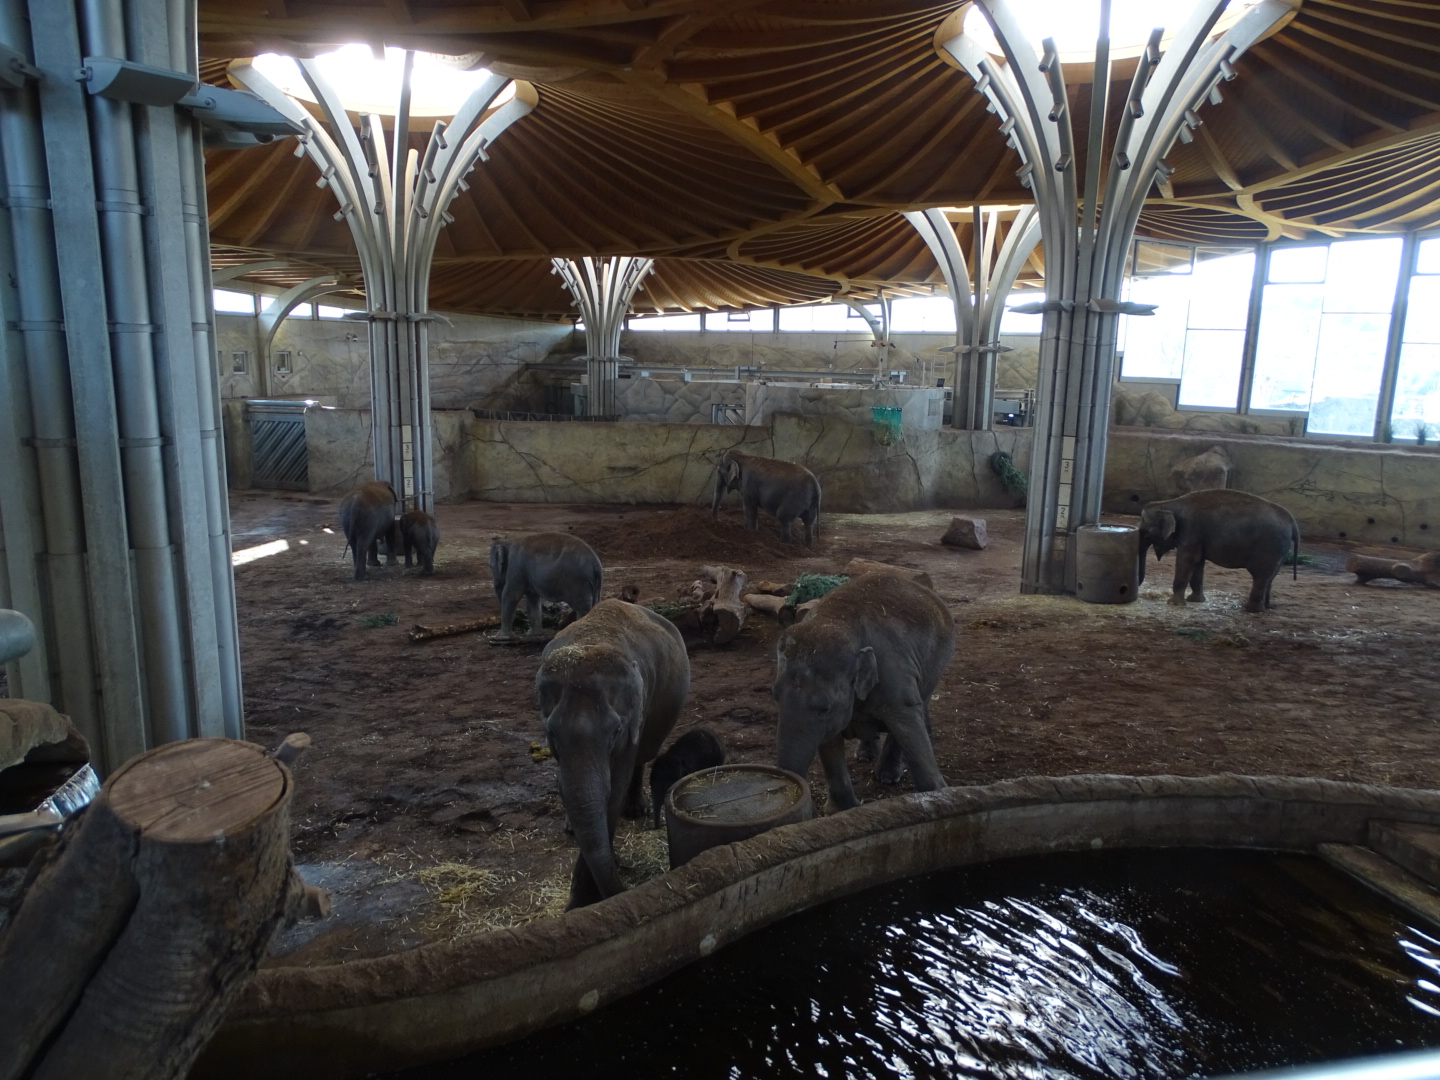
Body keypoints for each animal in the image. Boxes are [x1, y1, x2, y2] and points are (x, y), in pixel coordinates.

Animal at [536, 599, 690, 908]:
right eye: (551, 732)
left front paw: (583, 903)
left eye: (616, 731)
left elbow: (615, 785)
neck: (594, 641)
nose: (626, 885)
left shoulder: (635, 717)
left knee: (643, 754)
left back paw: (635, 810)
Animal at [773, 573, 955, 813]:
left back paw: (887, 777)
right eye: (774, 696)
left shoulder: (893, 671)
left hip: (937, 663)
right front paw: (841, 811)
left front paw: (939, 794)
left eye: (824, 708)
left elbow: (907, 721)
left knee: (919, 704)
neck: (835, 620)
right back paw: (865, 756)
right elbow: (830, 741)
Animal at [1139, 489, 1300, 613]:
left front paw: (1173, 603)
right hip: (1280, 549)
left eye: (1146, 533)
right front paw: (1195, 600)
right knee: (1270, 576)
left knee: (1260, 576)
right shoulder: (1197, 536)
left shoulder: (1191, 530)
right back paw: (1264, 607)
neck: (1168, 503)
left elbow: (1187, 560)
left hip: (1269, 546)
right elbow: (1198, 563)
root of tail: (1292, 522)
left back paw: (1250, 609)